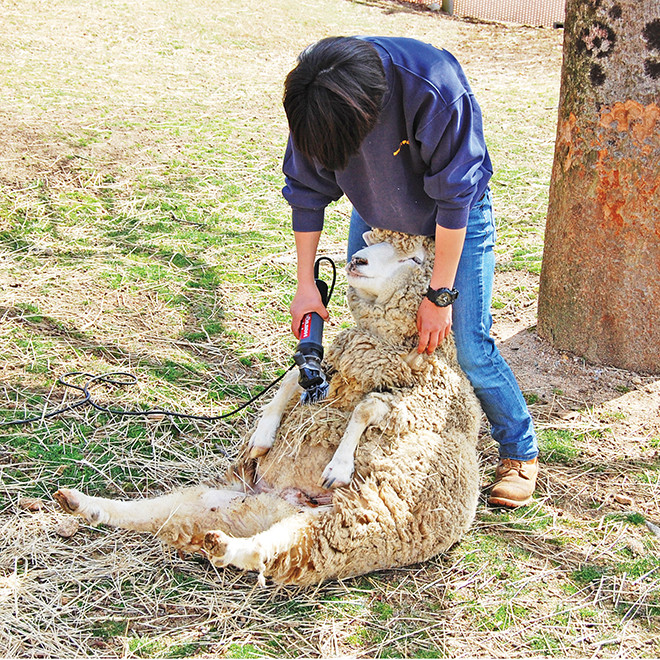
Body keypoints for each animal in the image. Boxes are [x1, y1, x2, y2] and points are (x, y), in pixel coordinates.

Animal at [55, 229, 480, 584]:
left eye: (415, 259)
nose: (357, 260)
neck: (380, 347)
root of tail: (285, 503)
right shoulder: (325, 365)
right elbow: (290, 381)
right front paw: (262, 437)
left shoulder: (417, 401)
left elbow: (365, 408)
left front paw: (338, 466)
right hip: (228, 501)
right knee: (156, 514)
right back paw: (83, 505)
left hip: (348, 527)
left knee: (268, 550)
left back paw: (224, 546)